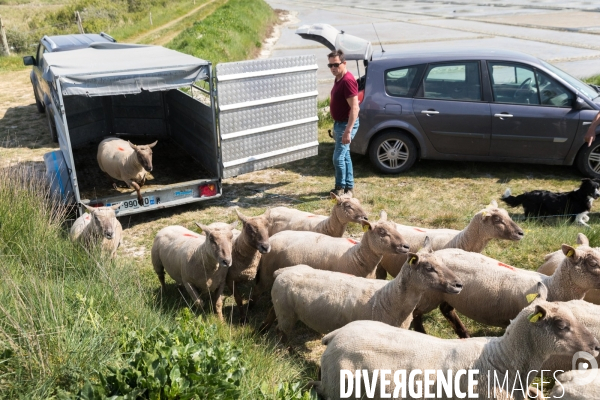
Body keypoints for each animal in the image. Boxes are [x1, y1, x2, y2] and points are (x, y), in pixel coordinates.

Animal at [251, 211, 410, 302]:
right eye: (382, 232)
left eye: (396, 227)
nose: (406, 246)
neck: (355, 257)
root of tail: (272, 239)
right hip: (265, 273)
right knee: (257, 289)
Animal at [260, 239, 462, 340]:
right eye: (429, 268)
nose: (459, 284)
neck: (389, 299)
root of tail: (283, 271)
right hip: (286, 314)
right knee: (282, 333)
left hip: (281, 306)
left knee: (270, 312)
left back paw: (261, 330)